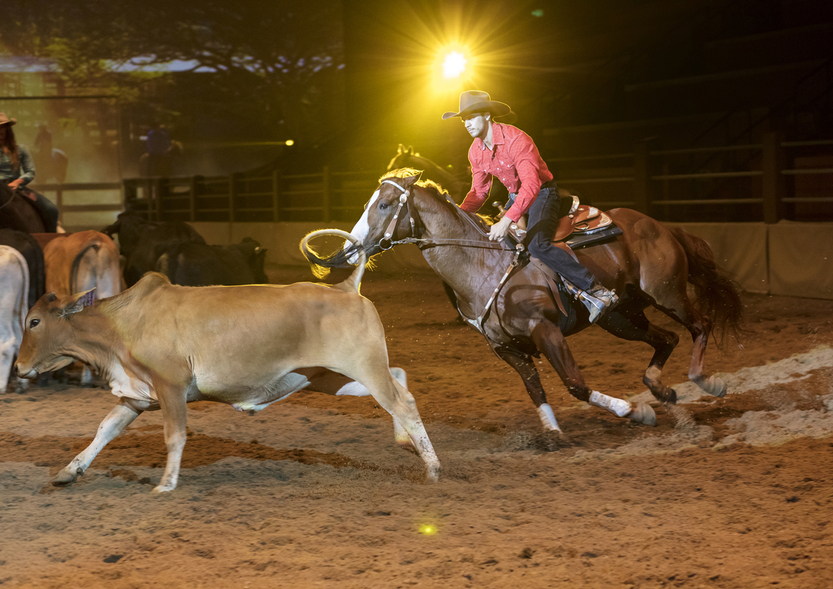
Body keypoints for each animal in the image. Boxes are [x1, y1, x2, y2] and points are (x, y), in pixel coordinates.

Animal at [302, 169, 744, 432]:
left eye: (384, 204)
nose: (349, 249)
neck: (484, 264)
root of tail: (659, 225)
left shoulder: (546, 331)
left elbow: (575, 385)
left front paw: (635, 411)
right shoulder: (506, 348)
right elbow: (537, 391)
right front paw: (551, 433)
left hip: (666, 293)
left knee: (699, 326)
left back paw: (704, 382)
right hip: (621, 318)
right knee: (667, 338)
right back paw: (664, 394)